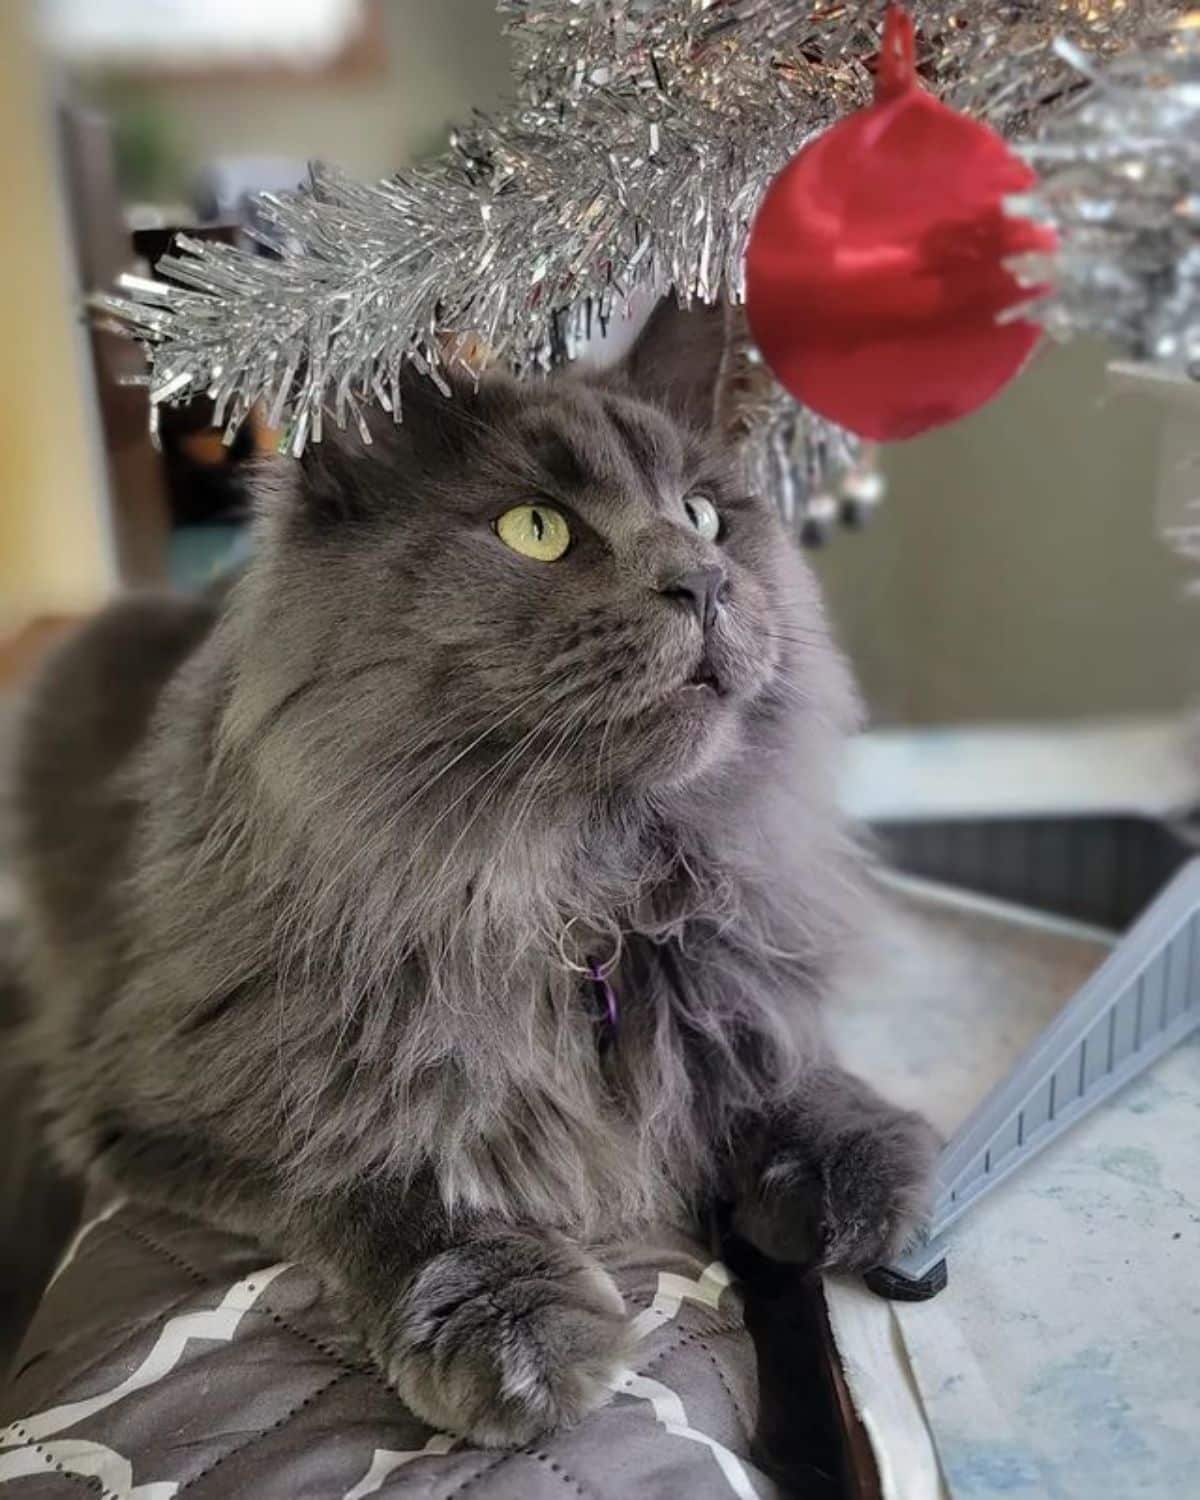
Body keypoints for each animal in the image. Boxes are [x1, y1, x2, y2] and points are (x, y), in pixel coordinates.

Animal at [16, 301, 936, 1440]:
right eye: (535, 529)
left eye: (704, 515)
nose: (706, 581)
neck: (582, 897)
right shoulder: (164, 1104)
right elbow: (386, 1173)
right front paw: (515, 1325)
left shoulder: (727, 978)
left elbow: (769, 1057)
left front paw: (857, 1159)